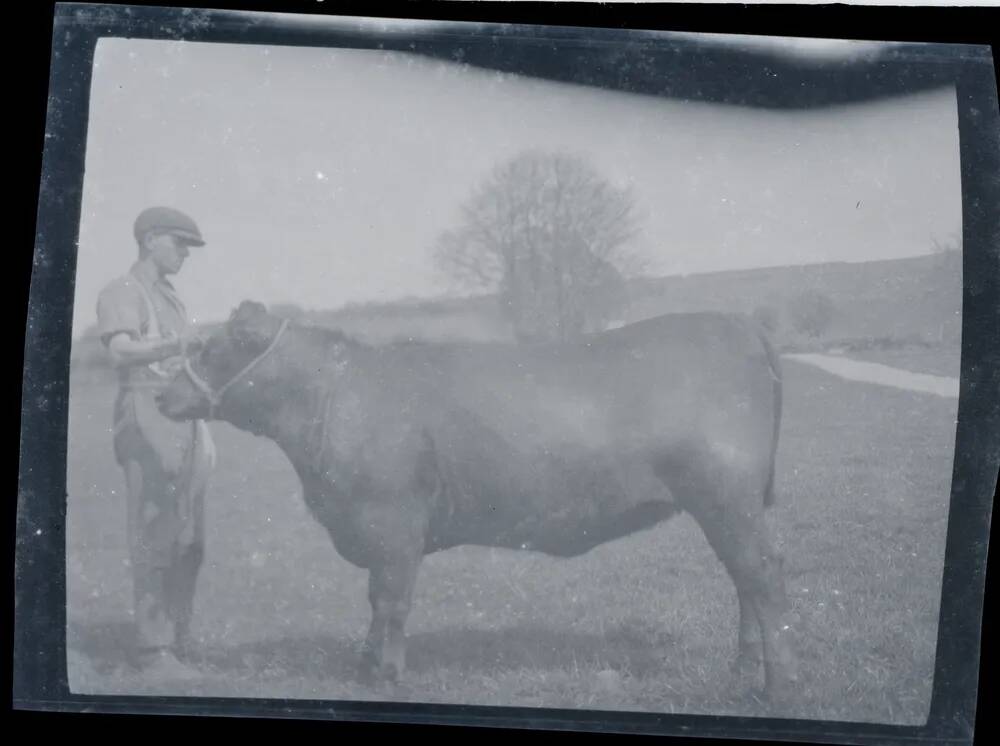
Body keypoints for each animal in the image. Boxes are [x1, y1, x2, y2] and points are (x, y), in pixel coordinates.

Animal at [156, 300, 796, 700]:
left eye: (213, 348)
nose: (163, 394)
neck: (331, 396)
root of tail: (737, 323)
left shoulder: (393, 523)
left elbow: (390, 601)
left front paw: (386, 674)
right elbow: (375, 603)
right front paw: (364, 665)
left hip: (727, 499)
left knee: (764, 577)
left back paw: (777, 684)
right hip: (730, 508)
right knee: (745, 580)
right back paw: (742, 668)